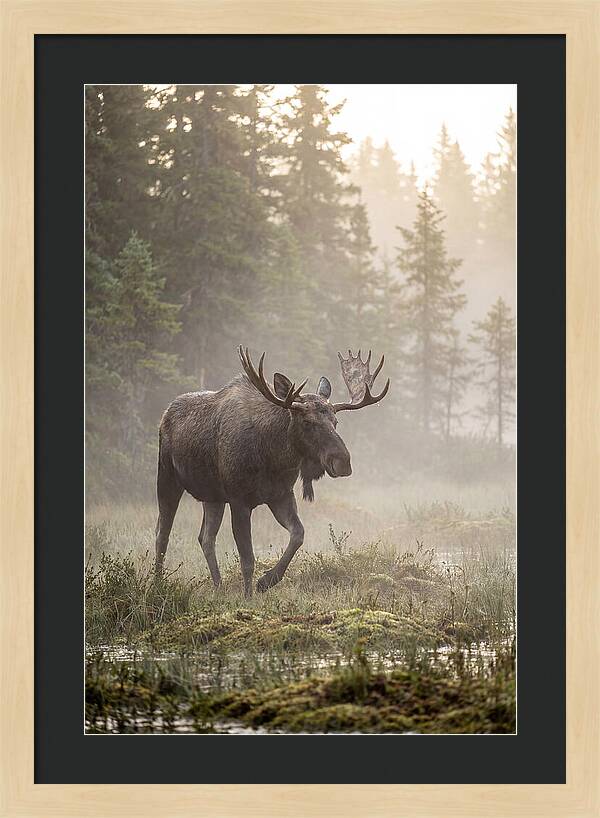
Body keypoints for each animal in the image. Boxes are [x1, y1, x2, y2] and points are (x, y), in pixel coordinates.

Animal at [155, 346, 390, 596]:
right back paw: (157, 583)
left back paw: (218, 587)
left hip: (213, 496)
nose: (343, 462)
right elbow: (248, 559)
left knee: (205, 538)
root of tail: (165, 414)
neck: (273, 458)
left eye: (336, 422)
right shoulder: (239, 500)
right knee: (162, 533)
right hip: (167, 477)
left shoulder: (280, 495)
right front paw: (248, 596)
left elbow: (298, 534)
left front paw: (267, 581)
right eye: (307, 422)